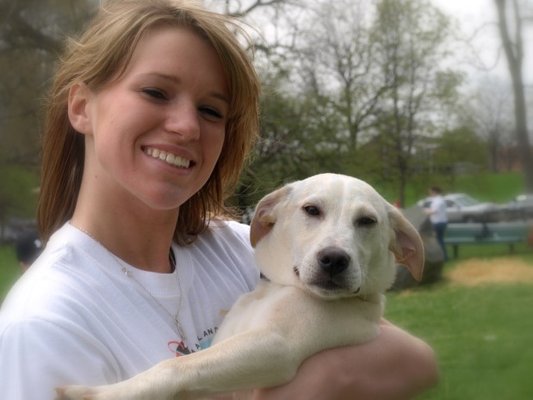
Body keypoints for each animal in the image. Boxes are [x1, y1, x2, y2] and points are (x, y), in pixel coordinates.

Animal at [58, 174, 424, 400]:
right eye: (311, 209)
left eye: (367, 221)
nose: (334, 260)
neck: (279, 288)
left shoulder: (277, 346)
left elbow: (177, 365)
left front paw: (100, 394)